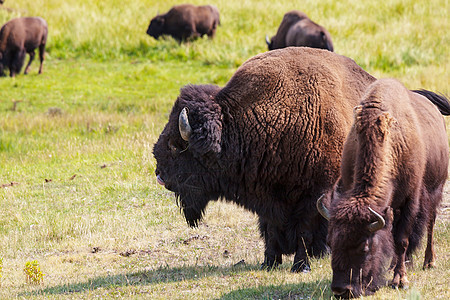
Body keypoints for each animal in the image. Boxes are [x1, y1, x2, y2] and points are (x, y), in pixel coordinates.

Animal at [152, 47, 376, 272]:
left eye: (174, 145)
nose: (159, 173)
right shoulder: (265, 196)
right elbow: (271, 229)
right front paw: (269, 262)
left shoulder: (316, 193)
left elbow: (305, 229)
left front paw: (300, 265)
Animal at [316, 78, 450, 298]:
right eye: (330, 242)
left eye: (364, 247)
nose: (341, 290)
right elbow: (394, 236)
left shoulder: (410, 200)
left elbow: (402, 239)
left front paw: (400, 281)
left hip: (436, 188)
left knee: (430, 222)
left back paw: (429, 261)